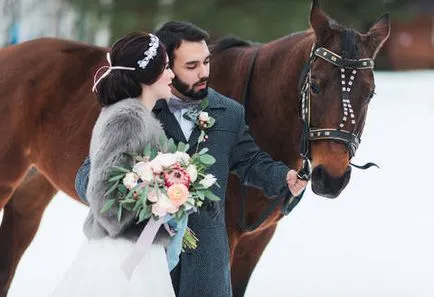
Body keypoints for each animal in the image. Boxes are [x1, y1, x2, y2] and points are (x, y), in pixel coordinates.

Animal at [0, 1, 390, 294]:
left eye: (370, 92)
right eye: (317, 85)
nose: (331, 177)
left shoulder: (255, 240)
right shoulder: (228, 236)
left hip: (33, 188)